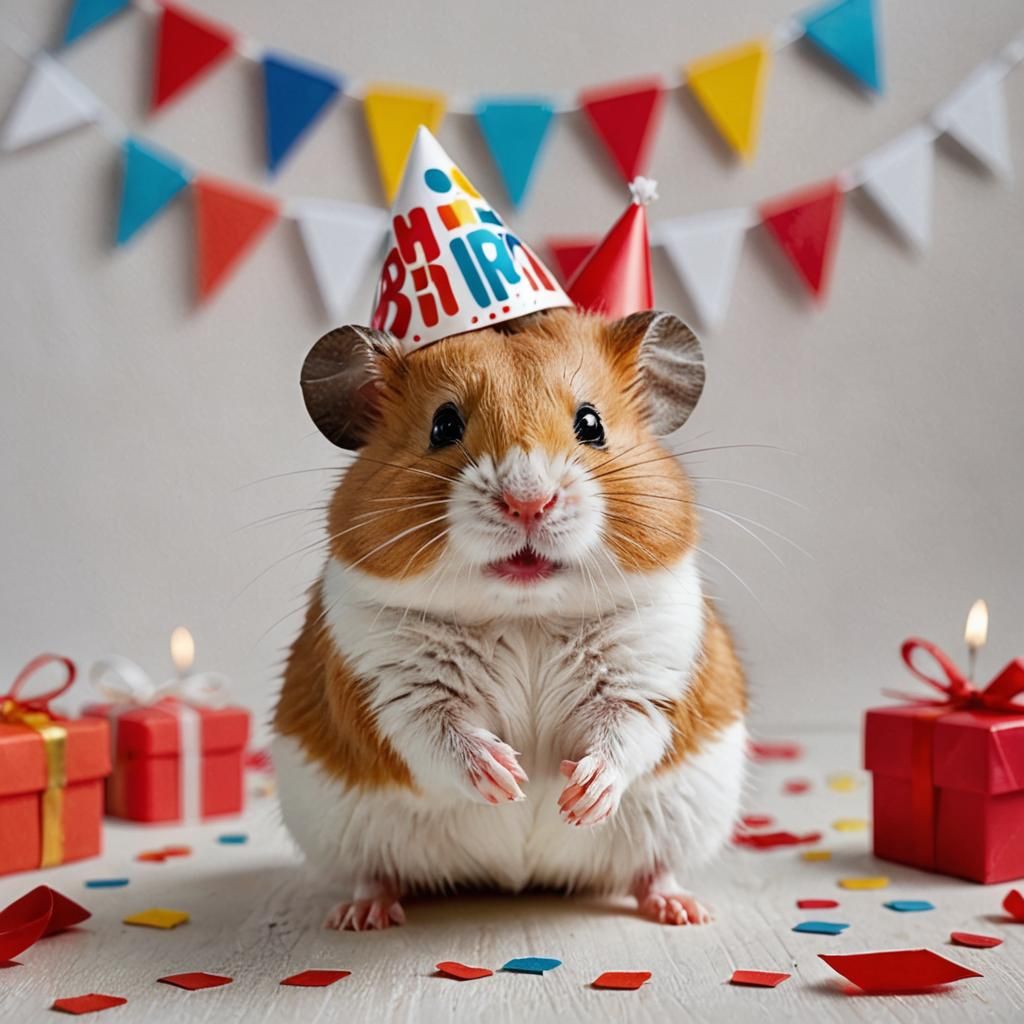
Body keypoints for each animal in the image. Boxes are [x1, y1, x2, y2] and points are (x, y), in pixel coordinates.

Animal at [272, 306, 747, 931]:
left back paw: (684, 910)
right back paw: (362, 914)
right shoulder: (390, 687)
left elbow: (623, 736)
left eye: (591, 424)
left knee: (651, 869)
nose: (529, 502)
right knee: (375, 871)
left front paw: (576, 796)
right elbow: (439, 736)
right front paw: (508, 780)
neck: (527, 616)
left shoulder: (647, 674)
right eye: (443, 425)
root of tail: (517, 879)